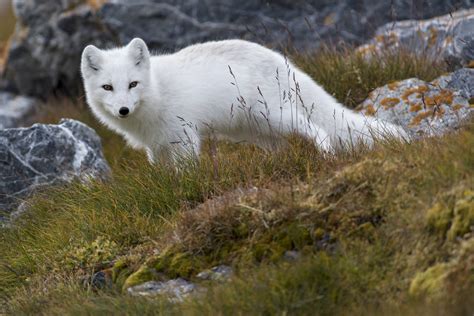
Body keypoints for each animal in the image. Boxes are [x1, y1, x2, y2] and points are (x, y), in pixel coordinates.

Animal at [80, 37, 404, 163]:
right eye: (108, 87)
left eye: (133, 84)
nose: (123, 110)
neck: (157, 91)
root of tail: (281, 59)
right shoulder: (156, 146)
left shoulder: (185, 136)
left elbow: (186, 172)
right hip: (254, 129)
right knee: (282, 146)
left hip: (273, 115)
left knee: (315, 127)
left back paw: (326, 153)